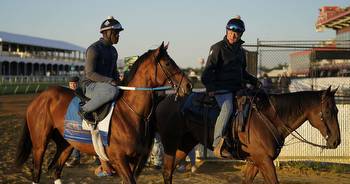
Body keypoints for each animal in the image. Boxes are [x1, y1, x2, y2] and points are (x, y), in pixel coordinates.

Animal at [15, 42, 191, 184]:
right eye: (168, 63)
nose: (188, 85)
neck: (130, 113)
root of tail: (39, 98)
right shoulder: (119, 159)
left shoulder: (134, 160)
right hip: (40, 143)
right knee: (36, 172)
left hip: (67, 143)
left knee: (57, 171)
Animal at [157, 87, 342, 184]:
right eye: (327, 111)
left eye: (337, 110)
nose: (336, 141)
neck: (269, 118)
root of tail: (166, 99)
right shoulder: (264, 161)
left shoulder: (255, 162)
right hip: (171, 143)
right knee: (167, 170)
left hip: (185, 144)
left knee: (168, 172)